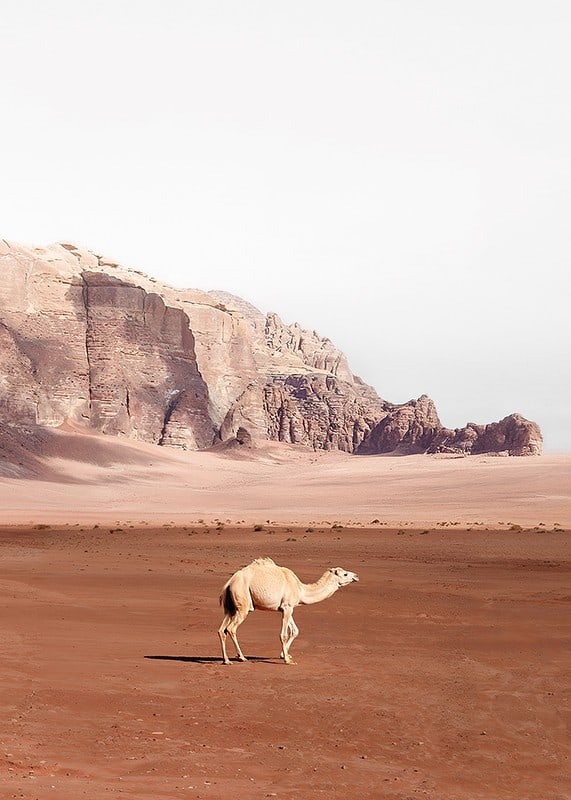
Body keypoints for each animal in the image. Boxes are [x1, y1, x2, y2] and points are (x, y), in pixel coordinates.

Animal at [218, 557, 359, 664]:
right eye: (345, 574)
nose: (356, 576)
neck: (300, 589)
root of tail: (229, 582)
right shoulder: (287, 607)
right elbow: (283, 634)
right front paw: (287, 660)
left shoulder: (288, 608)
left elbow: (295, 631)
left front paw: (284, 654)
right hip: (243, 605)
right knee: (231, 628)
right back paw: (241, 657)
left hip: (231, 608)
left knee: (221, 630)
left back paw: (226, 660)